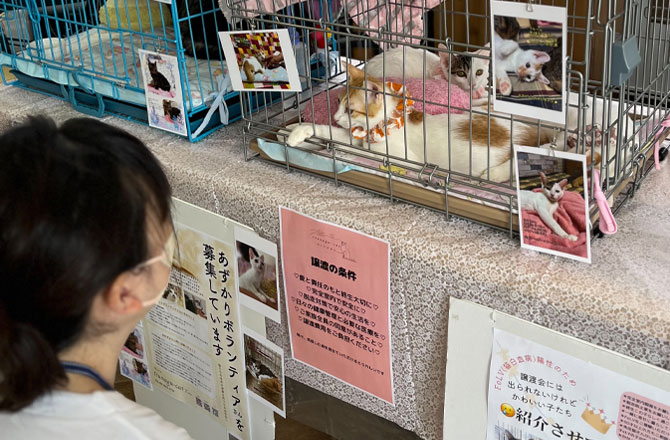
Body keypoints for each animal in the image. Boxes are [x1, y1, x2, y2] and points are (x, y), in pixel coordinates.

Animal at [287, 63, 557, 183]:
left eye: (350, 109)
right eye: (337, 102)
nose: (335, 117)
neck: (384, 124)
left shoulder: (401, 157)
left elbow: (359, 151)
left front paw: (335, 149)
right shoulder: (360, 136)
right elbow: (333, 134)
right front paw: (297, 131)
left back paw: (494, 173)